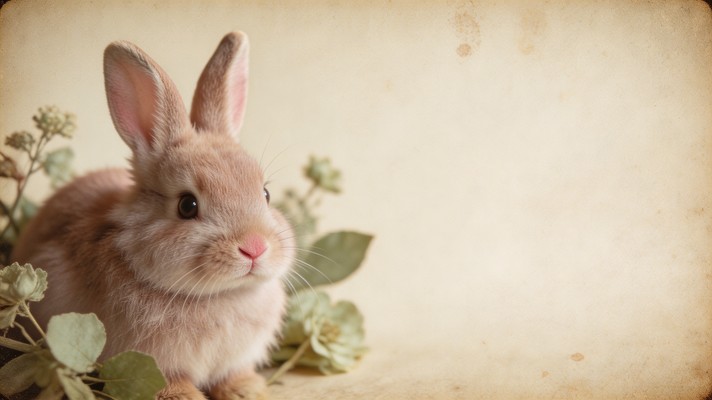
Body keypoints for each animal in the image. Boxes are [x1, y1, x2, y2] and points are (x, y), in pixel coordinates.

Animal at [11, 32, 295, 399]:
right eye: (187, 206)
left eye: (265, 194)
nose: (255, 247)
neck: (219, 295)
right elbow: (169, 381)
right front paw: (185, 396)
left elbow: (232, 374)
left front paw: (247, 389)